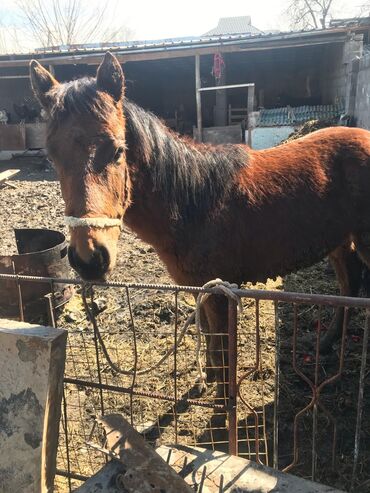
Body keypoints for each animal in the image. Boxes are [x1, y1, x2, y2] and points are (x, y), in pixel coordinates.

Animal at [30, 52, 370, 376]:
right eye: (52, 157)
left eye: (117, 151)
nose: (89, 259)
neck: (194, 203)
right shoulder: (197, 289)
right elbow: (209, 344)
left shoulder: (219, 295)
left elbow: (222, 355)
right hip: (339, 243)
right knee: (349, 285)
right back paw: (326, 344)